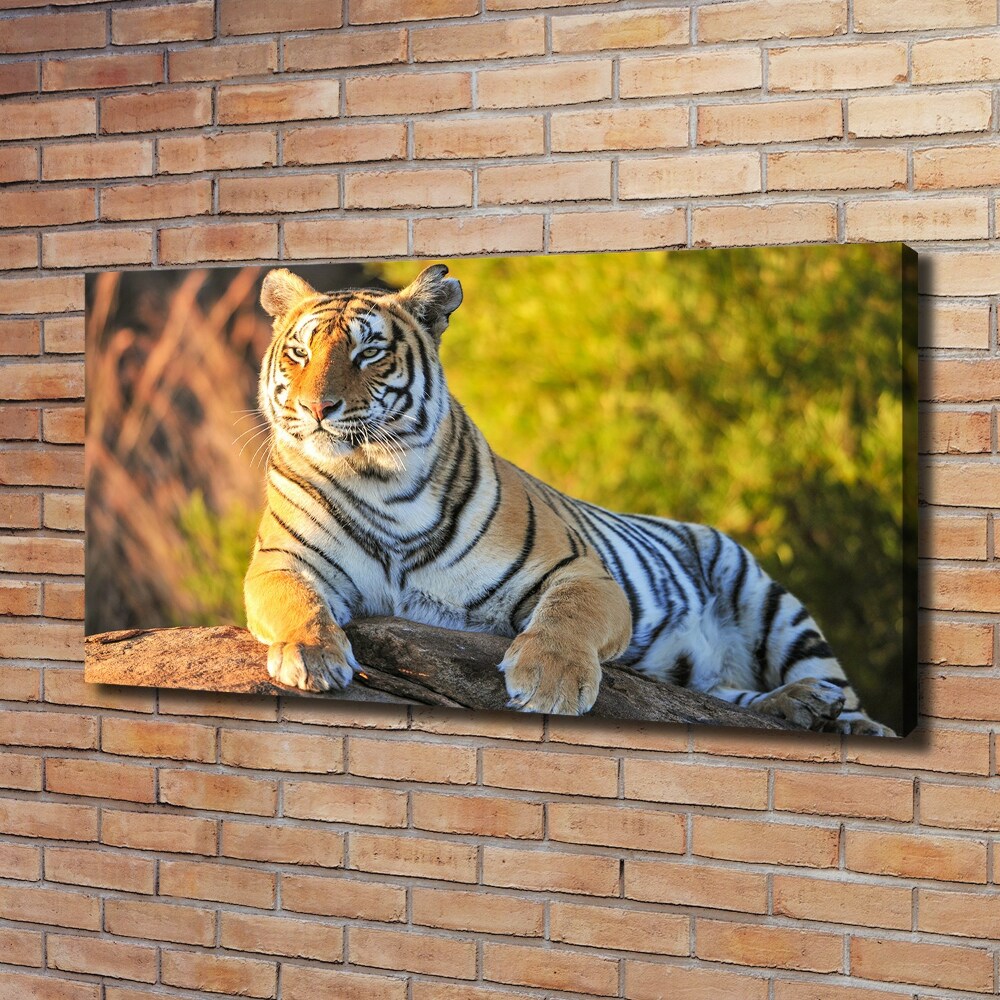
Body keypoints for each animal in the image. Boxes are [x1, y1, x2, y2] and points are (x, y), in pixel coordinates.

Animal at [246, 264, 896, 736]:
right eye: (299, 354)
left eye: (369, 353)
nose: (316, 407)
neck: (379, 481)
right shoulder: (279, 563)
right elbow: (297, 601)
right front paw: (311, 656)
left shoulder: (580, 571)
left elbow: (567, 616)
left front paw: (550, 682)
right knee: (722, 696)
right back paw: (799, 706)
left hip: (770, 602)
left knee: (839, 689)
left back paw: (846, 719)